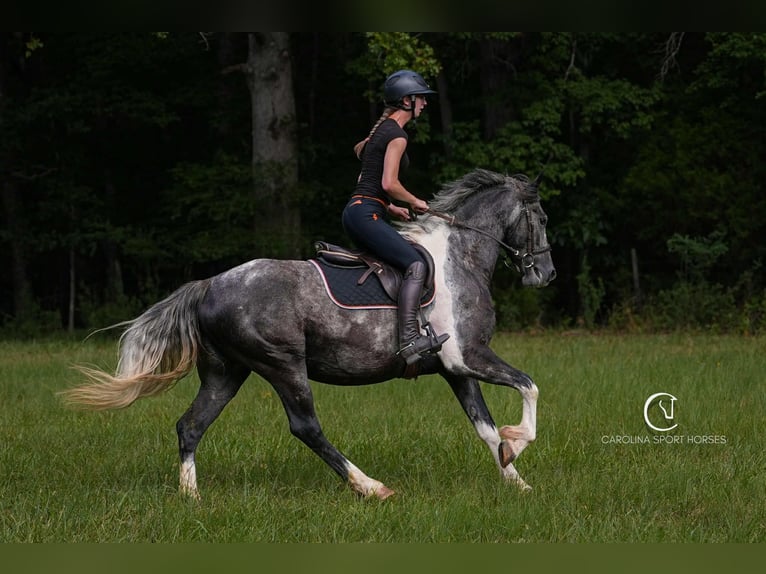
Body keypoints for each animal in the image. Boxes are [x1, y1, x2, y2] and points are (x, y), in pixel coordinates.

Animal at [62, 168, 556, 500]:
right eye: (543, 218)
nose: (546, 275)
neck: (460, 259)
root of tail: (210, 285)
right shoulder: (468, 356)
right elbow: (529, 386)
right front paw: (518, 443)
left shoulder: (455, 368)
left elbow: (485, 427)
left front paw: (517, 480)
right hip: (283, 365)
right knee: (306, 427)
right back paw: (370, 487)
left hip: (227, 372)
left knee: (191, 425)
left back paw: (192, 498)